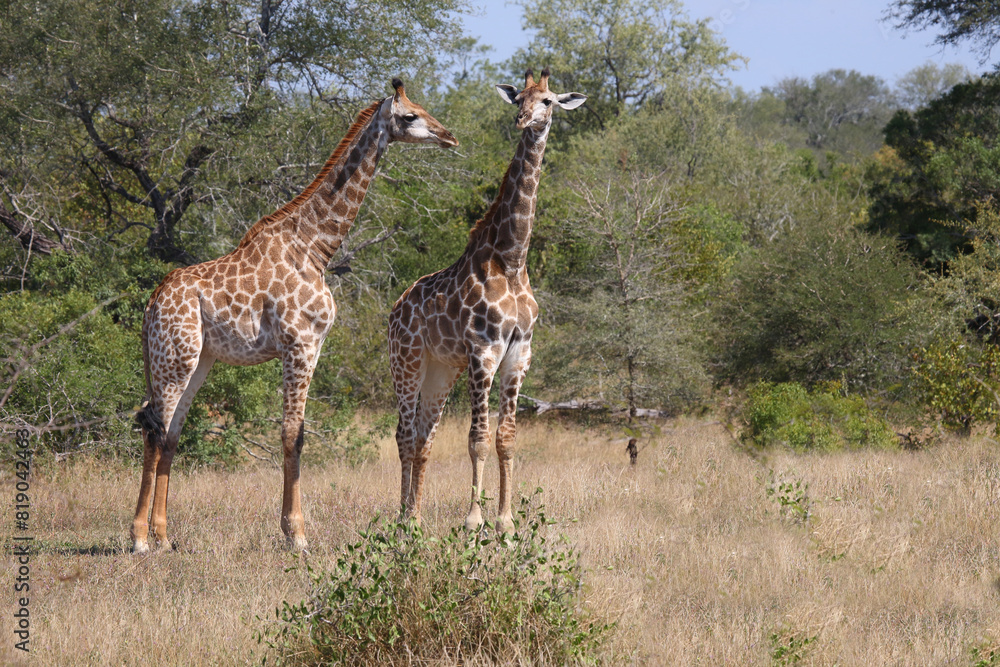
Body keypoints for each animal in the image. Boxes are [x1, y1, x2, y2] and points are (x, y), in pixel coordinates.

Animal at [130, 79, 458, 554]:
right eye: (410, 115)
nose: (449, 136)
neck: (315, 248)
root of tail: (152, 303)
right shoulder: (298, 343)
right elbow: (292, 433)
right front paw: (296, 533)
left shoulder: (314, 346)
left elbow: (297, 431)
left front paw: (292, 529)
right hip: (175, 356)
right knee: (155, 429)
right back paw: (139, 538)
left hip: (197, 359)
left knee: (170, 430)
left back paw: (163, 535)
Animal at [388, 68, 585, 532]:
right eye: (519, 98)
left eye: (548, 100)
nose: (523, 120)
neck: (511, 261)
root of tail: (395, 309)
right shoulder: (483, 352)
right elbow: (476, 438)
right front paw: (473, 520)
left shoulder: (519, 353)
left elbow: (506, 438)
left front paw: (506, 522)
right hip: (407, 362)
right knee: (404, 434)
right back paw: (402, 521)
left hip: (441, 370)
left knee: (423, 435)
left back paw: (416, 519)